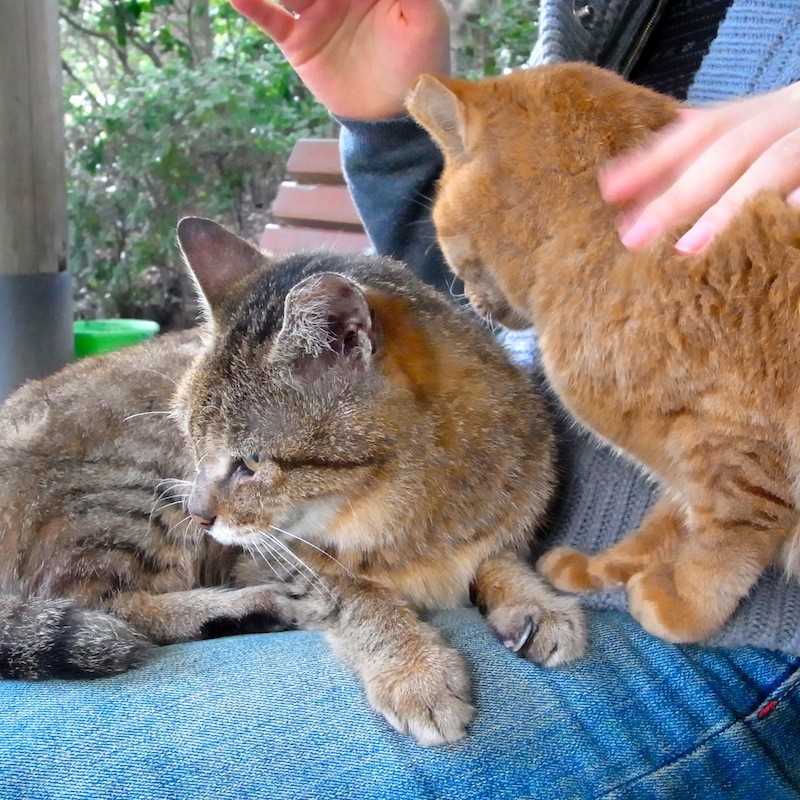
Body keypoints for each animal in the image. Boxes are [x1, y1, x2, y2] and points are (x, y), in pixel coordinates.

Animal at [0, 217, 580, 744]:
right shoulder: (275, 556)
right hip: (135, 495)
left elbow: (499, 556)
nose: (198, 514)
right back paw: (245, 609)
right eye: (191, 440)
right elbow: (357, 596)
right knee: (103, 607)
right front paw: (413, 667)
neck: (410, 520)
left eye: (250, 463)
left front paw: (537, 603)